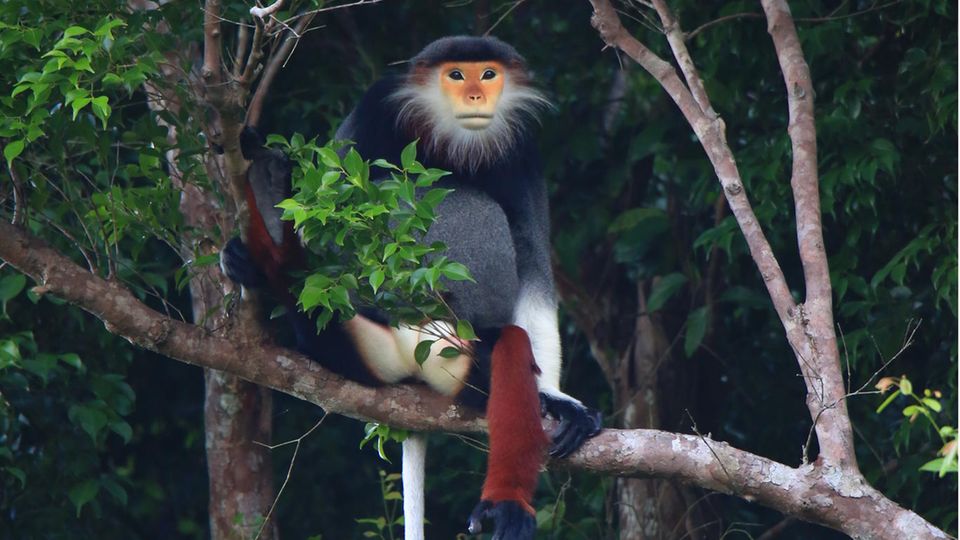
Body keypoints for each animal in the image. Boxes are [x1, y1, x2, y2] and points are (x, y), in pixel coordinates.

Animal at [221, 36, 603, 539]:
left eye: (489, 74)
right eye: (456, 75)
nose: (476, 96)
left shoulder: (521, 153)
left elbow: (533, 260)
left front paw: (559, 399)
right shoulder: (375, 109)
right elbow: (327, 206)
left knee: (507, 348)